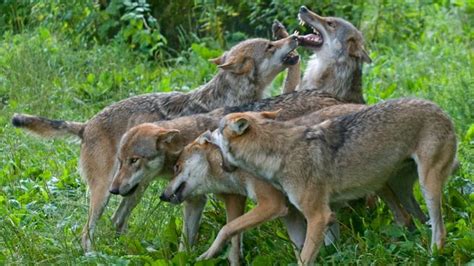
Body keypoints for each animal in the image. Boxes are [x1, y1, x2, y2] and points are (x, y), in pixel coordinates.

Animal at [11, 34, 298, 251]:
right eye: (270, 45)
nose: (294, 37)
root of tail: (86, 125)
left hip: (132, 189)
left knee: (117, 220)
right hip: (106, 192)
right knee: (87, 231)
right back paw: (92, 255)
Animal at [212, 100, 456, 264]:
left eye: (217, 128)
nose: (206, 132)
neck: (277, 153)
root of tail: (440, 109)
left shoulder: (318, 216)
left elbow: (303, 258)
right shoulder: (331, 214)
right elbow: (332, 249)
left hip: (427, 187)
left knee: (439, 230)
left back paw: (433, 256)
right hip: (402, 189)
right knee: (418, 220)